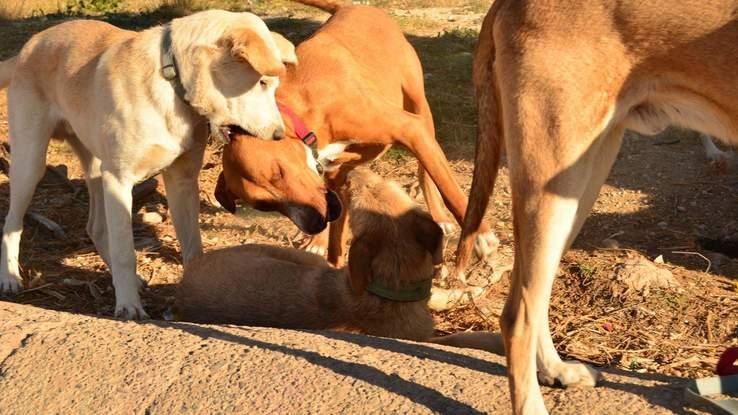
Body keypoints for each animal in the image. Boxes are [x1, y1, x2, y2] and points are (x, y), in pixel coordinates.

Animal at [0, 11, 296, 320]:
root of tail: (31, 43)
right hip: (31, 164)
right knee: (12, 223)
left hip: (95, 168)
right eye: (262, 82)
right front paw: (128, 305)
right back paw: (10, 277)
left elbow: (193, 246)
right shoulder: (119, 180)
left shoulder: (182, 182)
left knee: (96, 227)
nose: (279, 135)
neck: (172, 81)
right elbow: (125, 252)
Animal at [180, 166, 500, 352]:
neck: (392, 286)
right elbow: (461, 337)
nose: (350, 172)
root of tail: (186, 278)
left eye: (384, 184)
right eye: (355, 195)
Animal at [216, 0, 498, 266]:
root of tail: (352, 7)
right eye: (265, 205)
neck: (302, 112)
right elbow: (336, 239)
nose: (314, 223)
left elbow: (449, 188)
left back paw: (440, 217)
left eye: (278, 172)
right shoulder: (334, 183)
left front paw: (480, 236)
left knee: (425, 170)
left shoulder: (409, 128)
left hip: (420, 108)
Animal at [454, 0, 736, 415]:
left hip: (579, 182)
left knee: (532, 294)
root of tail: (508, 2)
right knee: (517, 316)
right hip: (554, 176)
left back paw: (555, 370)